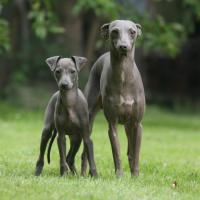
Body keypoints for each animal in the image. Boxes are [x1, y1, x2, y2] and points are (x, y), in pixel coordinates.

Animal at [82, 19, 145, 177]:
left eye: (132, 31)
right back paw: (84, 174)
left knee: (130, 150)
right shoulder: (113, 124)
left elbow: (135, 154)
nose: (124, 47)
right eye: (114, 31)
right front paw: (120, 176)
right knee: (84, 150)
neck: (123, 76)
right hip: (89, 118)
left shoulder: (137, 124)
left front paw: (135, 176)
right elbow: (116, 152)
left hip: (129, 126)